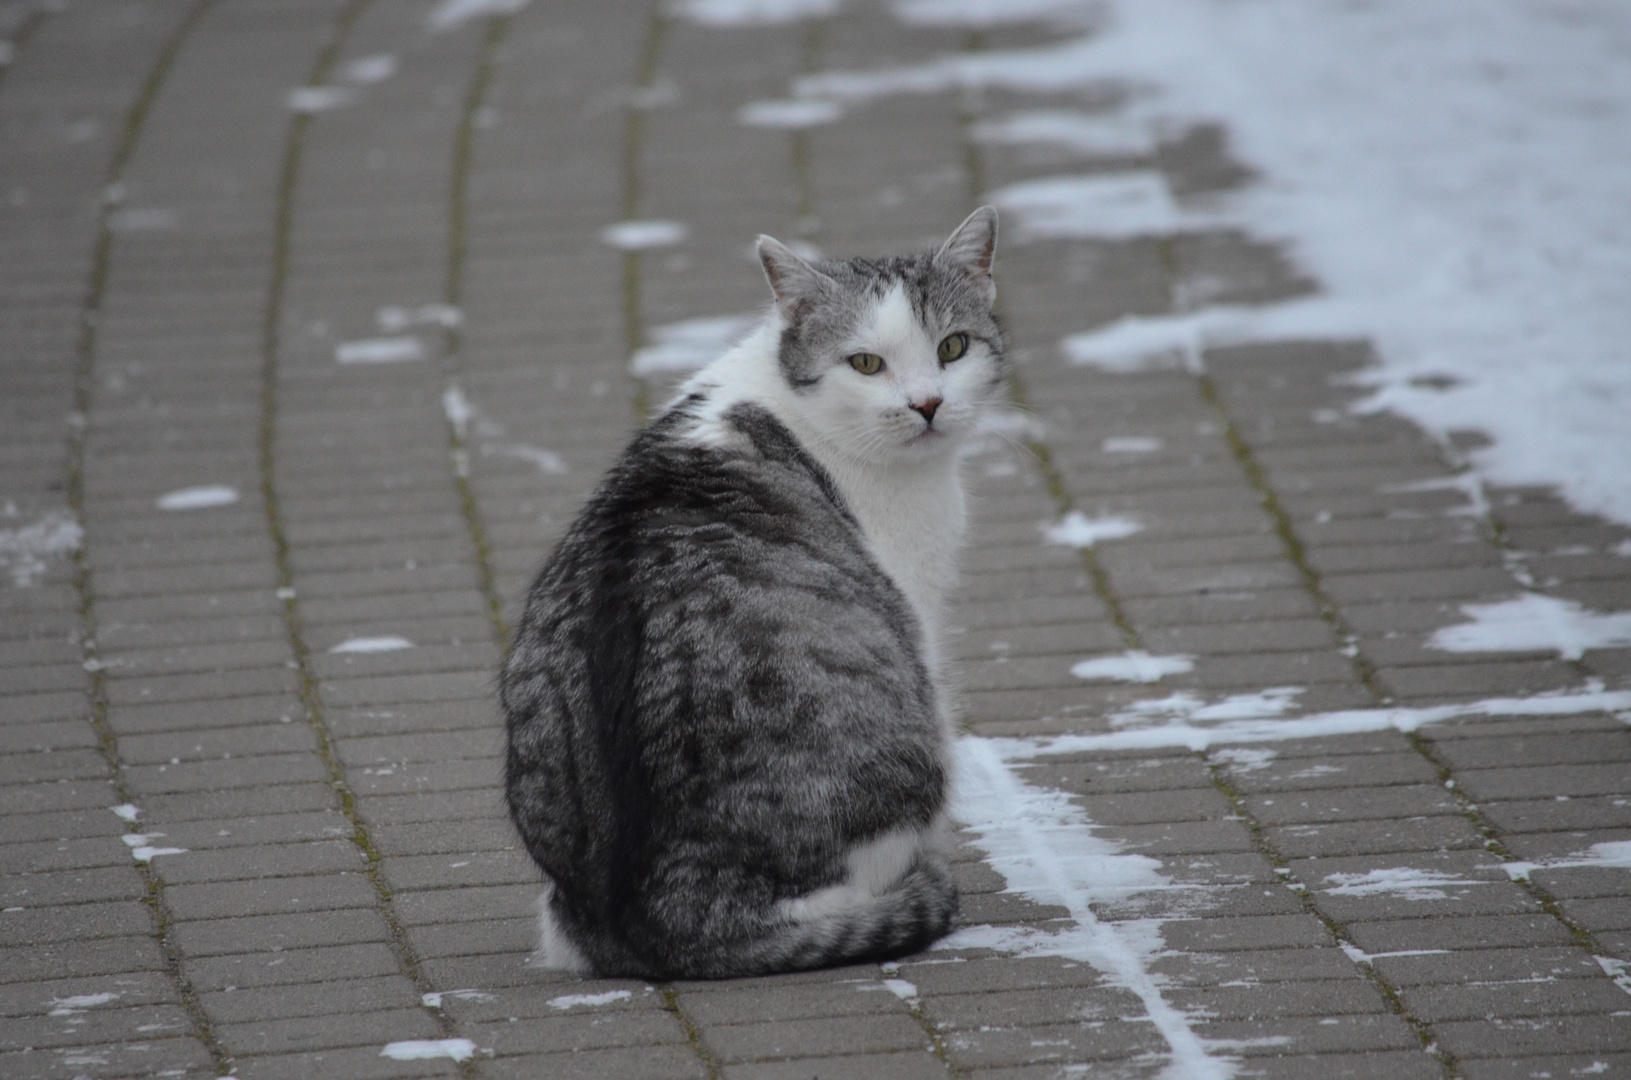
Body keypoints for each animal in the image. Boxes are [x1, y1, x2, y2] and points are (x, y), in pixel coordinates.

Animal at [499, 207, 1004, 985]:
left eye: (953, 348)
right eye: (866, 364)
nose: (926, 403)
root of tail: (666, 918)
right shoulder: (913, 607)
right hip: (912, 749)